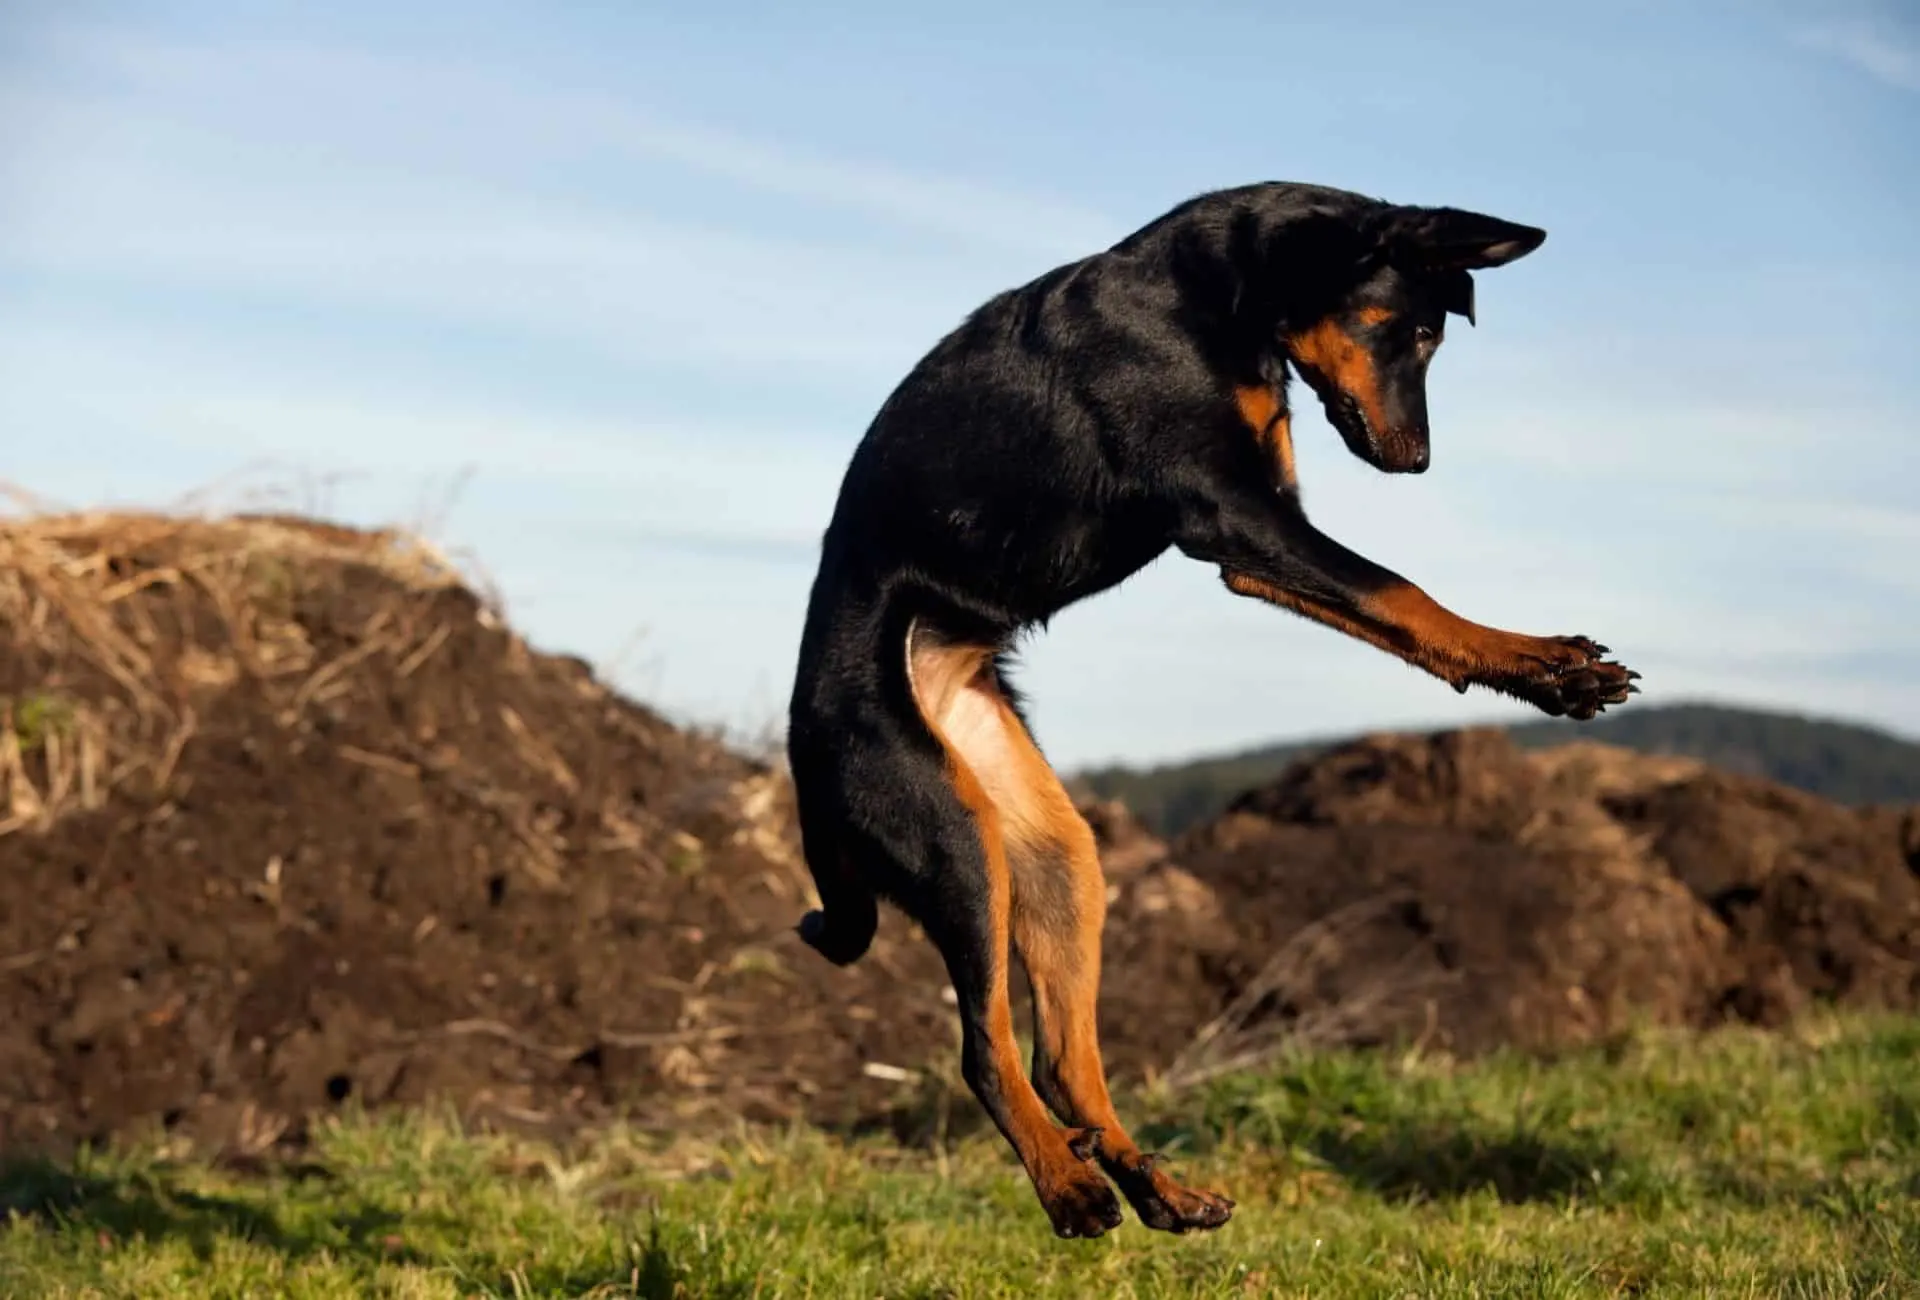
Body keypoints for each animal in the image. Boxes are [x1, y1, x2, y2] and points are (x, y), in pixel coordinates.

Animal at [779, 182, 1635, 1236]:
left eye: (1434, 336)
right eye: (1405, 329)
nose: (1418, 462)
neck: (1223, 294)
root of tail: (800, 744)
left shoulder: (1259, 535)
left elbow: (1393, 607)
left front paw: (1539, 668)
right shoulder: (1234, 516)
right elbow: (1401, 590)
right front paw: (1547, 667)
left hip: (1054, 856)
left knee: (1063, 1064)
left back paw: (1157, 1190)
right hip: (953, 842)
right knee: (985, 1051)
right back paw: (1070, 1189)